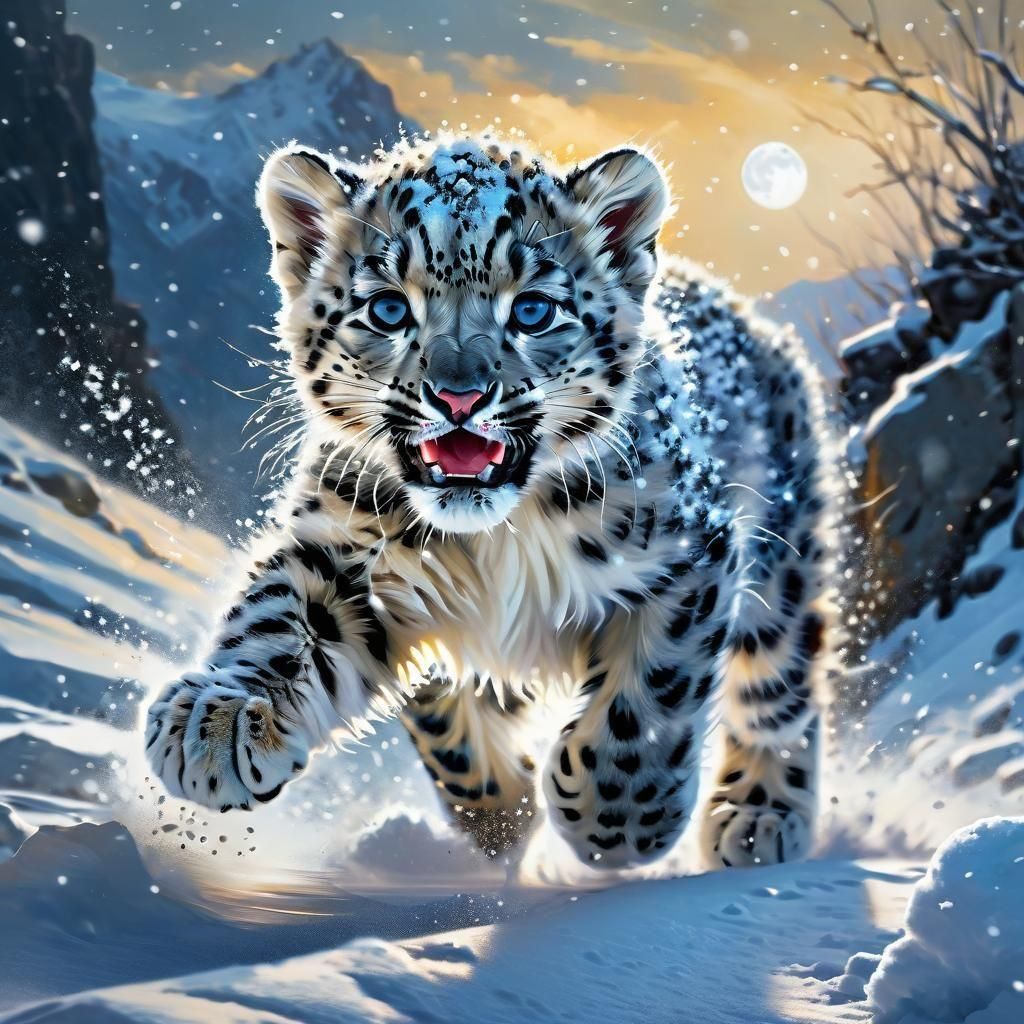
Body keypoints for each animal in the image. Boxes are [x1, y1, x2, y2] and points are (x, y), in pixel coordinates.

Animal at [145, 134, 838, 871]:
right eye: (388, 309)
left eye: (533, 309)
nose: (459, 398)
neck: (496, 541)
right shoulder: (347, 552)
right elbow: (281, 621)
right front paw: (217, 724)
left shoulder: (690, 554)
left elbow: (649, 695)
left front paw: (617, 826)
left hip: (783, 572)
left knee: (779, 690)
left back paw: (759, 820)